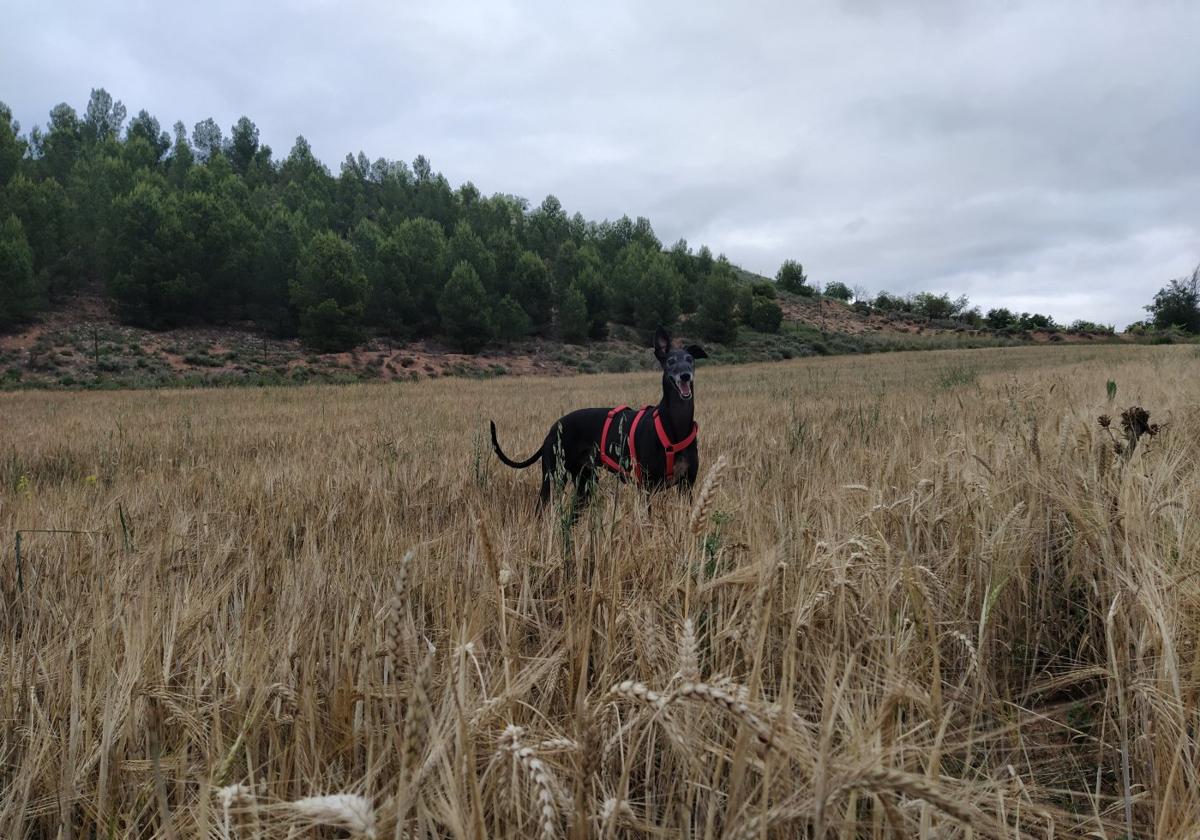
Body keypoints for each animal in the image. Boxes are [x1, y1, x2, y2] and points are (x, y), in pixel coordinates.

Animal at [492, 326, 705, 511]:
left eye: (690, 360)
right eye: (670, 361)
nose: (685, 376)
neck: (674, 425)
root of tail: (553, 428)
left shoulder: (686, 486)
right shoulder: (646, 487)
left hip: (585, 484)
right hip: (553, 478)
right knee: (541, 509)